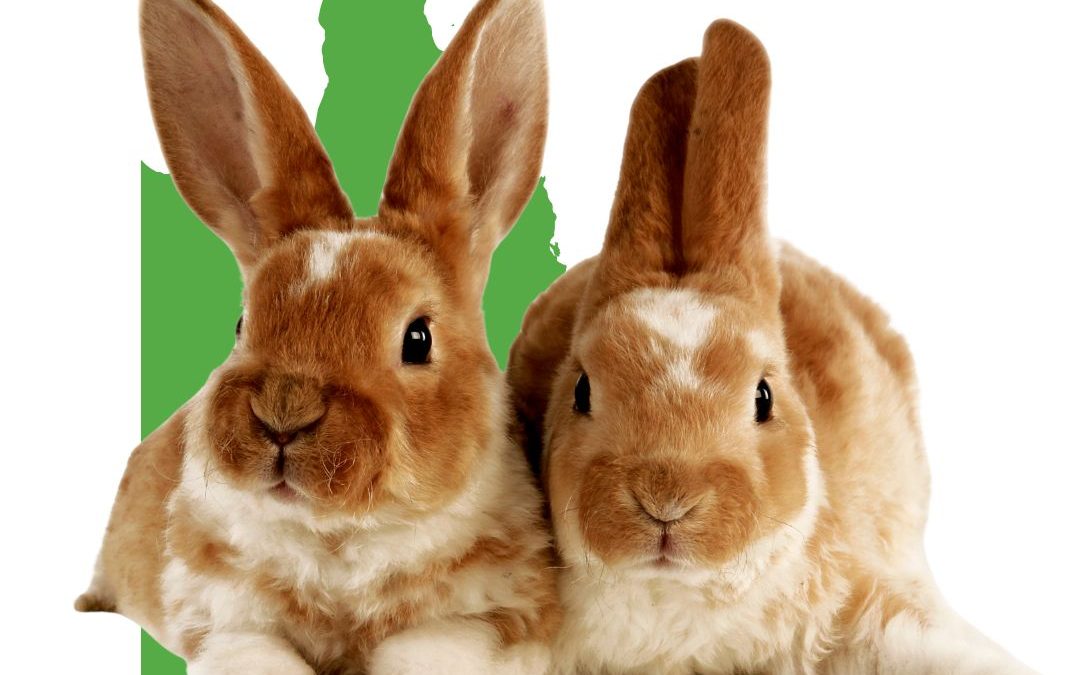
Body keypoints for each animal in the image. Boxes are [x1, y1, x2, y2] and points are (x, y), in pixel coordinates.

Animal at [74, 0, 560, 672]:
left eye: (417, 339)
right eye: (242, 324)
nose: (285, 412)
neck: (338, 537)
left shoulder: (492, 619)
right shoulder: (226, 619)